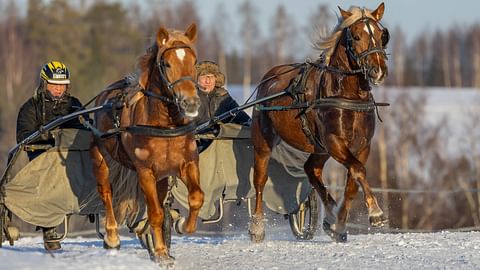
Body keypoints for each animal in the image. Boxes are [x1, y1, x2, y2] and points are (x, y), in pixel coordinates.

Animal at [89, 23, 202, 264]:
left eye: (194, 61)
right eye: (166, 63)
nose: (190, 102)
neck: (165, 126)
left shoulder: (187, 164)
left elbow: (196, 198)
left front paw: (183, 226)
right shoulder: (145, 171)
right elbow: (156, 213)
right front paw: (160, 253)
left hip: (162, 177)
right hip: (100, 156)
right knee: (106, 192)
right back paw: (112, 237)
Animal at [251, 2, 390, 243]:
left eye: (382, 35)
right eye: (356, 36)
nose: (378, 71)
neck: (347, 96)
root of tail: (268, 79)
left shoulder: (362, 146)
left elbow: (352, 182)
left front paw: (338, 224)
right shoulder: (334, 142)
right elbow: (358, 170)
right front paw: (376, 213)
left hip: (319, 148)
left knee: (311, 169)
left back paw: (331, 214)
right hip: (263, 143)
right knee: (260, 180)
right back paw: (257, 227)